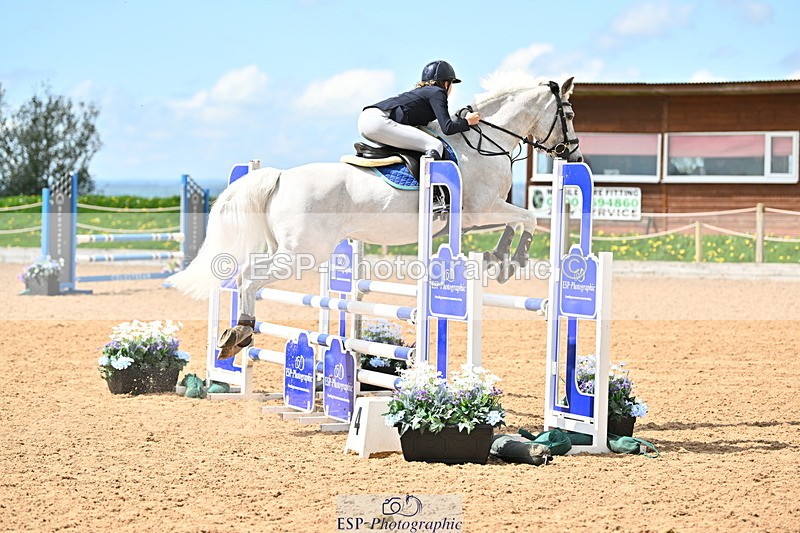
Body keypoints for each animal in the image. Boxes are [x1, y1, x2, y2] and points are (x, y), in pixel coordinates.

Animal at [169, 71, 583, 355]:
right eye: (569, 113)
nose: (574, 153)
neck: (483, 142)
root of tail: (281, 176)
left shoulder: (477, 217)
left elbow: (521, 219)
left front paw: (501, 259)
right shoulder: (481, 210)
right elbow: (528, 218)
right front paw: (509, 261)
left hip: (284, 248)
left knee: (244, 275)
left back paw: (235, 336)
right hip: (303, 253)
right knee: (249, 279)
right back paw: (240, 333)